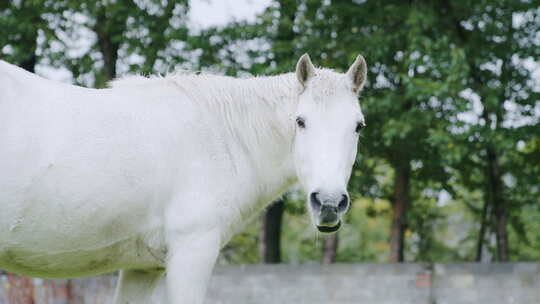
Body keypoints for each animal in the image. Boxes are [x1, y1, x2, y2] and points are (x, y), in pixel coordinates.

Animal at [0, 55, 368, 304]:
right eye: (300, 121)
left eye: (358, 125)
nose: (329, 204)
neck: (221, 135)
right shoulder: (192, 253)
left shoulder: (143, 269)